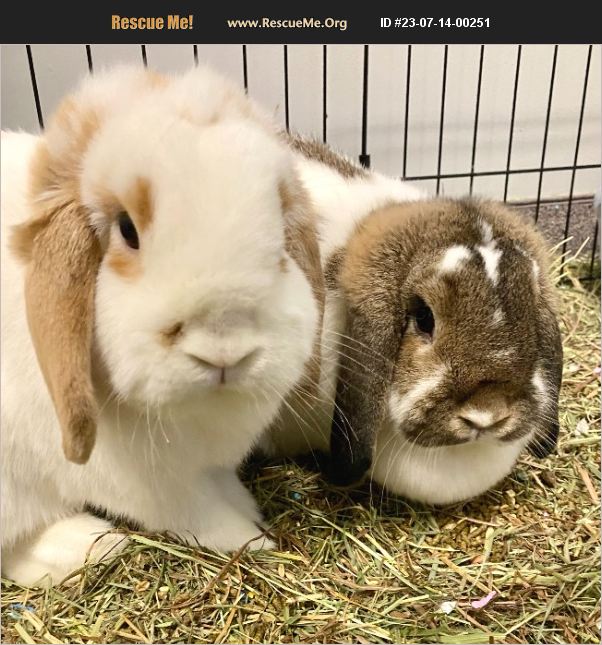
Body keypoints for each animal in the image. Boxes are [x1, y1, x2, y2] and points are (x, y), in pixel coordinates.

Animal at [0, 66, 324, 587]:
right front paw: (254, 539)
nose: (225, 350)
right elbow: (199, 515)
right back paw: (94, 544)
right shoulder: (149, 485)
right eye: (127, 230)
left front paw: (248, 506)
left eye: (279, 243)